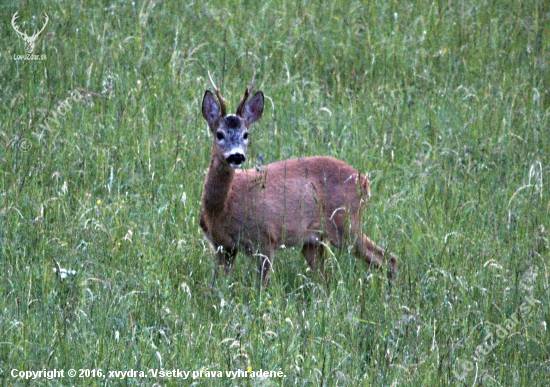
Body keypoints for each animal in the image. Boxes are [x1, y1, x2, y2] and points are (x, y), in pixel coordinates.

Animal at [201, 72, 398, 288]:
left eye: (246, 134)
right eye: (219, 134)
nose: (236, 156)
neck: (222, 207)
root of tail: (365, 181)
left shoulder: (265, 238)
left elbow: (262, 286)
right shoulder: (222, 246)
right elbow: (215, 287)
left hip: (345, 222)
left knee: (387, 258)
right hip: (314, 240)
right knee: (327, 277)